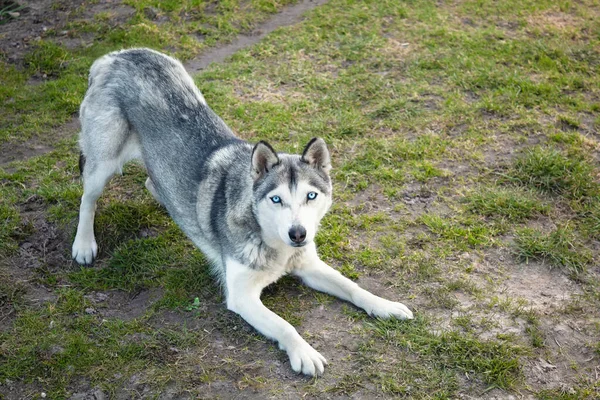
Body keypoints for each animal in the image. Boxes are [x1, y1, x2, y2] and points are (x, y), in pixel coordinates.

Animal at [71, 48, 412, 376]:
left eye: (311, 196)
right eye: (276, 199)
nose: (298, 234)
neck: (273, 243)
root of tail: (116, 56)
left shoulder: (309, 265)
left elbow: (353, 287)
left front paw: (384, 305)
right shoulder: (242, 295)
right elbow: (285, 325)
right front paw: (304, 353)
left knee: (151, 181)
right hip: (103, 163)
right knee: (87, 198)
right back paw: (84, 244)